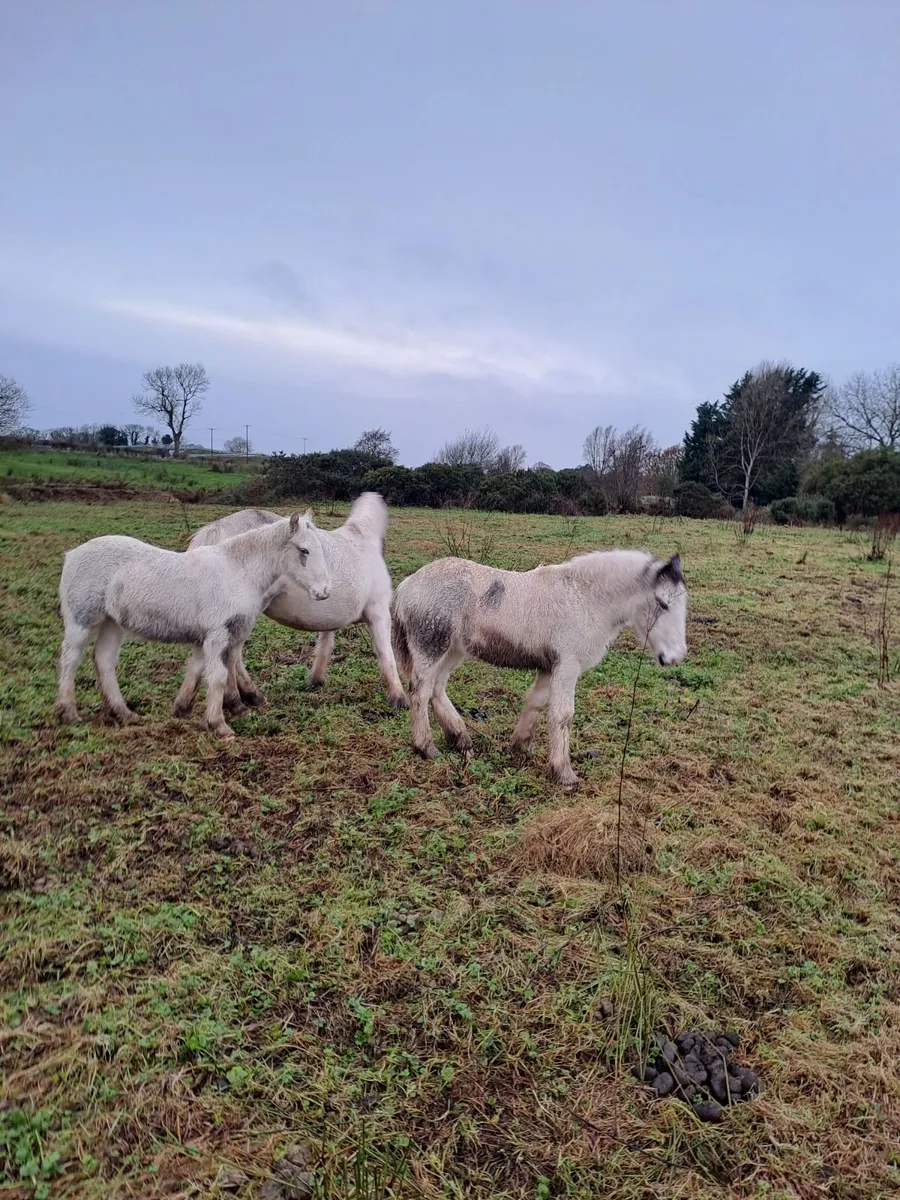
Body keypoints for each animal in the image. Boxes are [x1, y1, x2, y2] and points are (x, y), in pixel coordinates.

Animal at [54, 513, 330, 739]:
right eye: (304, 550)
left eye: (320, 549)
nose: (325, 592)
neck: (237, 570)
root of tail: (72, 554)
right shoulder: (217, 634)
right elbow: (218, 676)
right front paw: (219, 725)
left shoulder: (207, 637)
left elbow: (197, 670)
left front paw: (183, 709)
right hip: (81, 620)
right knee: (70, 659)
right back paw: (68, 713)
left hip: (112, 623)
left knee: (104, 660)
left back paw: (124, 713)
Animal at [186, 492, 407, 711]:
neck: (363, 541)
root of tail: (217, 531)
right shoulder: (378, 613)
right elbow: (387, 655)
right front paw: (399, 697)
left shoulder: (332, 618)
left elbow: (325, 645)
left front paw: (316, 680)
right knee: (232, 654)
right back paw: (246, 697)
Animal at [392, 549, 687, 786]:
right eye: (662, 604)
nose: (675, 657)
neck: (584, 598)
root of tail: (406, 585)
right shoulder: (567, 665)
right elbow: (563, 715)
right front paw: (564, 773)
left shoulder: (549, 667)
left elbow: (535, 703)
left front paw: (520, 747)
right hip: (431, 647)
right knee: (420, 692)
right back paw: (426, 747)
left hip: (453, 650)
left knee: (437, 688)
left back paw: (459, 737)